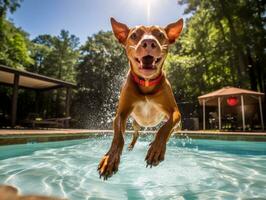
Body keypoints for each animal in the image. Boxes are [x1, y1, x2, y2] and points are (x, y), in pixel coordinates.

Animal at [97, 17, 183, 180]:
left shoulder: (175, 112)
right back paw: (131, 145)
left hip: (178, 126)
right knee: (136, 133)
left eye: (160, 34)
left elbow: (164, 129)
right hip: (135, 122)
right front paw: (110, 159)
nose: (149, 42)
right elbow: (118, 137)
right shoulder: (121, 114)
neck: (147, 84)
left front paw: (156, 149)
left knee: (170, 130)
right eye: (134, 35)